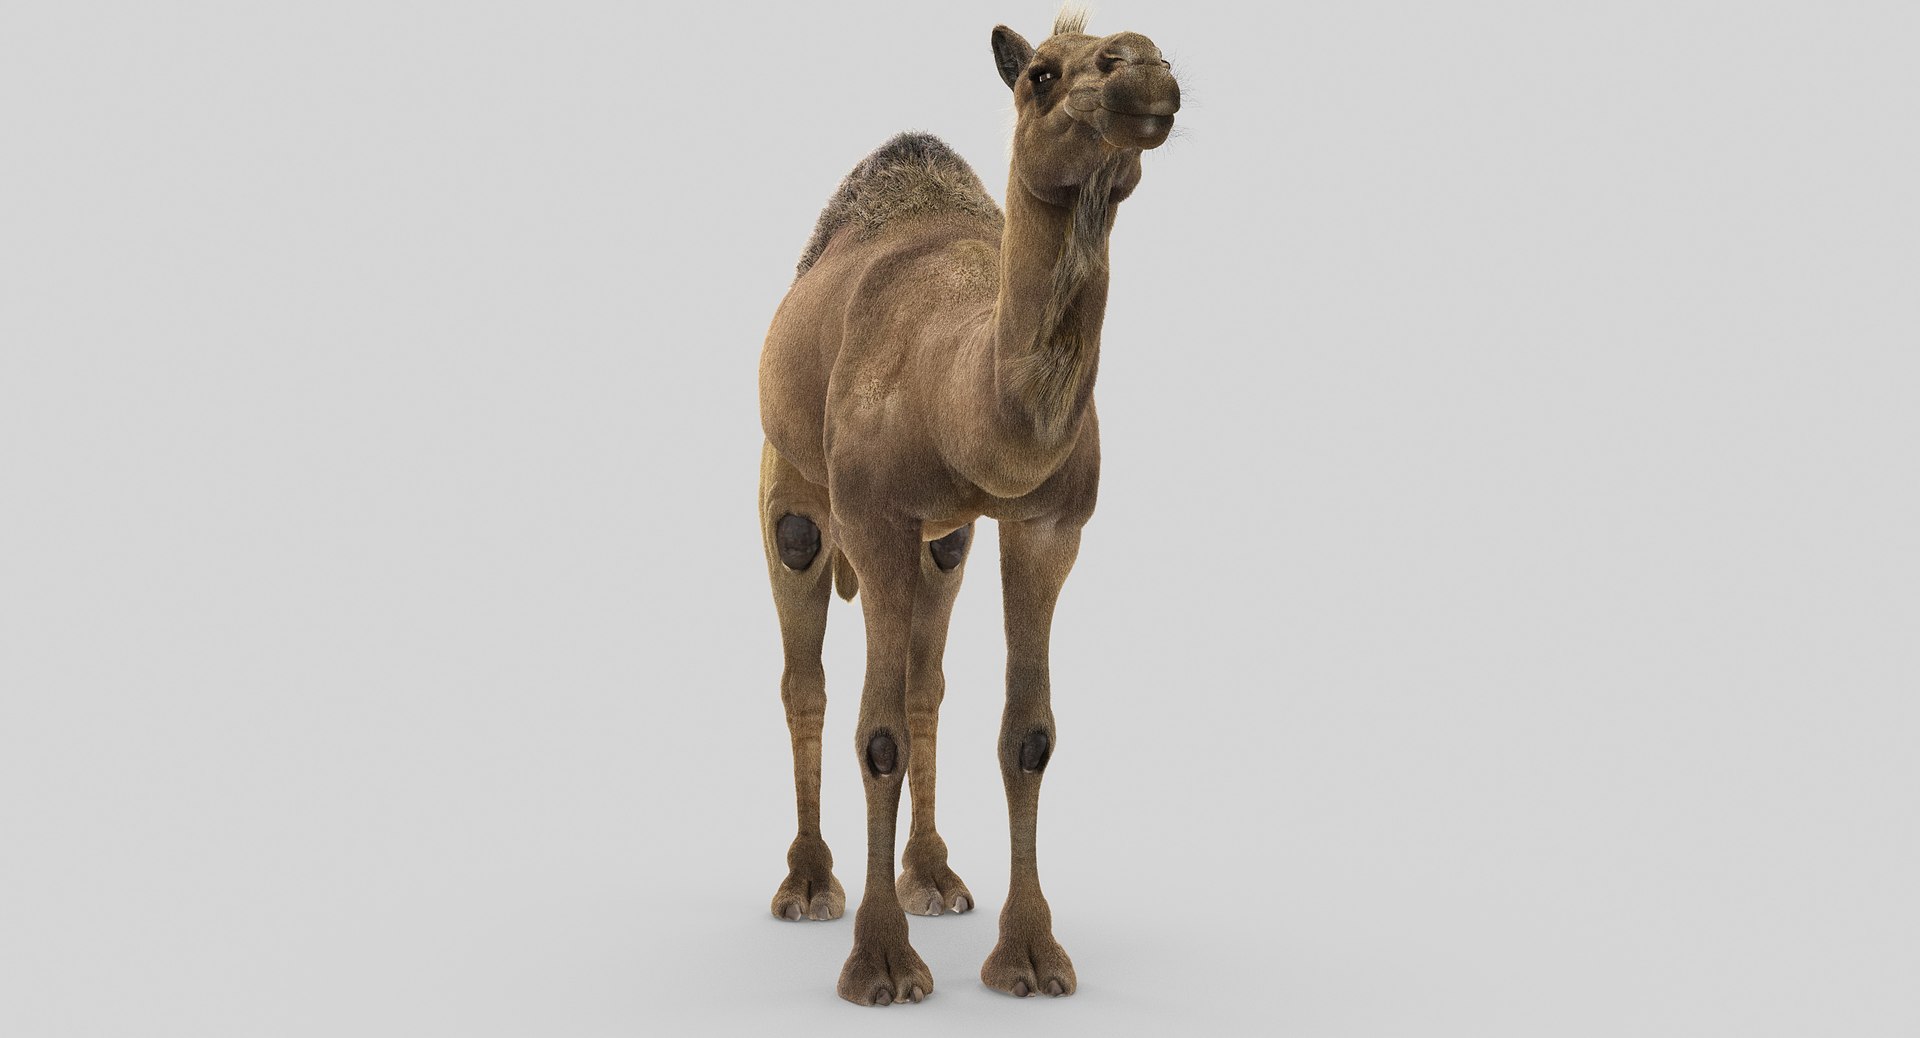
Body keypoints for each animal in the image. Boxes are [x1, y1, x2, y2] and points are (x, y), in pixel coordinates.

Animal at [755, 7, 1180, 1006]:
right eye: (1041, 75)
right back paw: (808, 884)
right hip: (791, 494)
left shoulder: (1047, 523)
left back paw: (936, 876)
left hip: (943, 544)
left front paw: (1030, 957)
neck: (958, 391)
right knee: (805, 680)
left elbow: (1027, 735)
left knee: (926, 683)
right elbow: (872, 736)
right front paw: (880, 967)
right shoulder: (872, 518)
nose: (1144, 63)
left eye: (1151, 51)